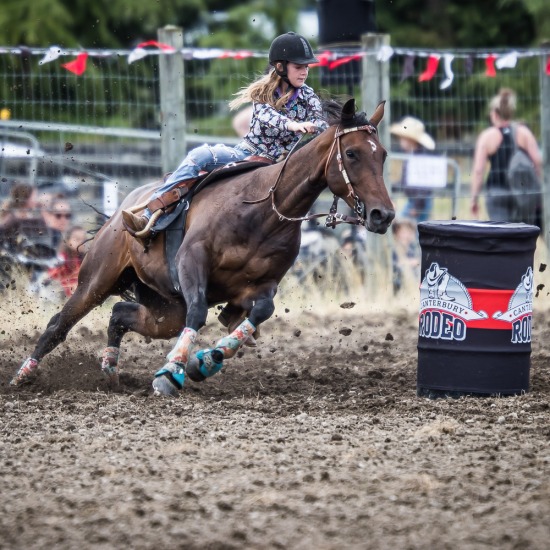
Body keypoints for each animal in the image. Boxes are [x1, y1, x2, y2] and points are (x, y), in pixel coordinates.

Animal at [9, 97, 396, 394]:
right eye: (352, 153)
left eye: (382, 155)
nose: (384, 215)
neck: (261, 209)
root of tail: (122, 210)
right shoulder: (192, 261)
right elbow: (198, 314)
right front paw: (171, 373)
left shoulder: (261, 285)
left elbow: (259, 313)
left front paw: (206, 361)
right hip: (96, 279)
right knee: (59, 324)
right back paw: (22, 376)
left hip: (164, 309)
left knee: (121, 314)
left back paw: (109, 369)